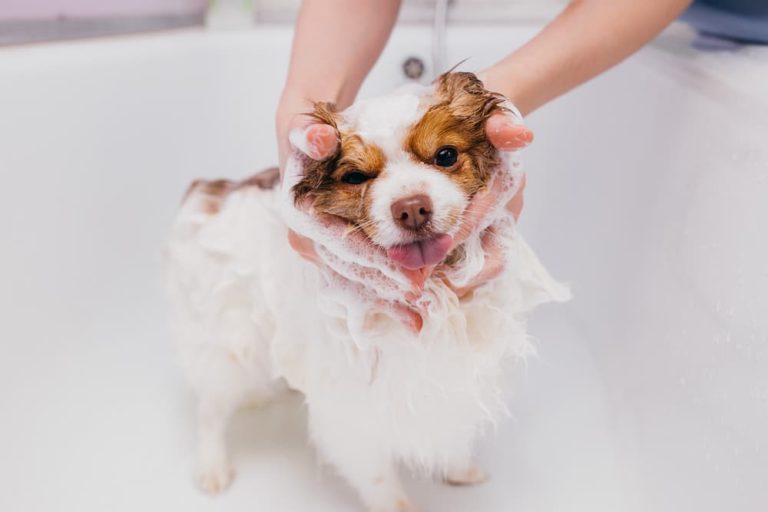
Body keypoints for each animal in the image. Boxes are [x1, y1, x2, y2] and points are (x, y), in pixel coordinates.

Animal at [165, 72, 568, 512]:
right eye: (356, 177)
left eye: (445, 156)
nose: (412, 208)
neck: (435, 299)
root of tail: (210, 193)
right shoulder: (356, 414)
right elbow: (383, 485)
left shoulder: (455, 381)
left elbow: (451, 433)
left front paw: (459, 470)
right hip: (230, 347)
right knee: (210, 410)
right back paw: (212, 467)